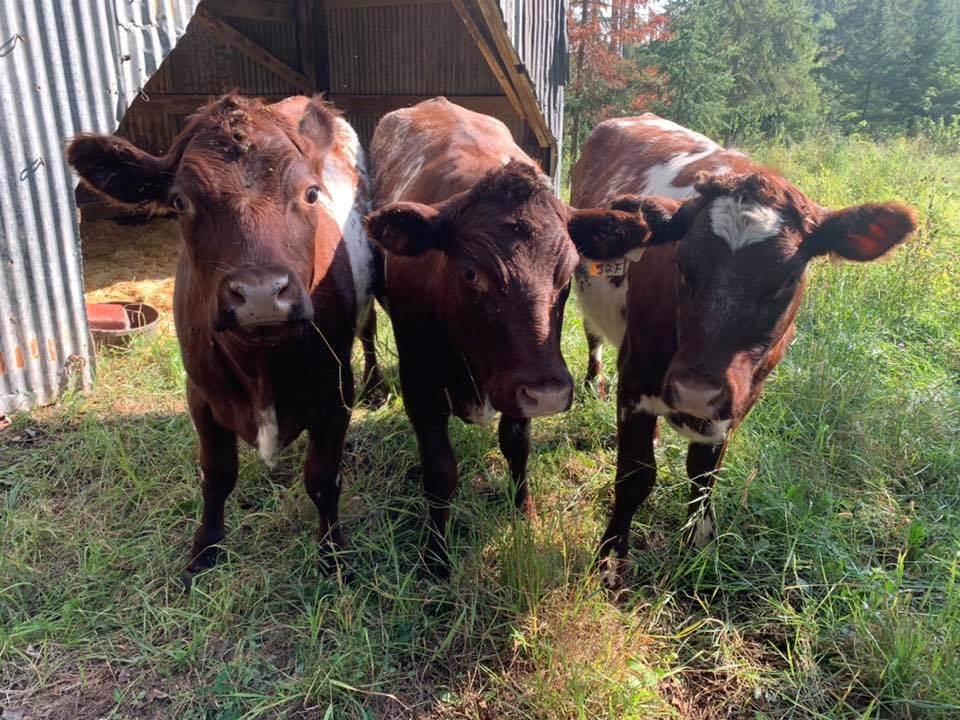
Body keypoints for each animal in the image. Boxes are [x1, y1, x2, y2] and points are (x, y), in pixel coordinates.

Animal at [67, 94, 380, 580]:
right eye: (180, 202)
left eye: (311, 193)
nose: (260, 294)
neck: (262, 365)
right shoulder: (200, 396)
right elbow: (216, 476)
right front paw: (205, 548)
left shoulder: (335, 392)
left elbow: (323, 479)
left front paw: (332, 552)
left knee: (368, 329)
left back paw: (378, 388)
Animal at [364, 98, 656, 576]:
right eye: (471, 272)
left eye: (566, 273)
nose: (548, 392)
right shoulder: (419, 382)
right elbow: (440, 471)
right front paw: (435, 557)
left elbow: (517, 445)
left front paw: (525, 512)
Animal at [568, 115, 916, 588]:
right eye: (681, 264)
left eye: (786, 280)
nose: (696, 391)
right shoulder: (636, 377)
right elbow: (636, 475)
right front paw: (609, 558)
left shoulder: (740, 399)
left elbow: (704, 473)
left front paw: (699, 546)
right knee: (593, 338)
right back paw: (593, 384)